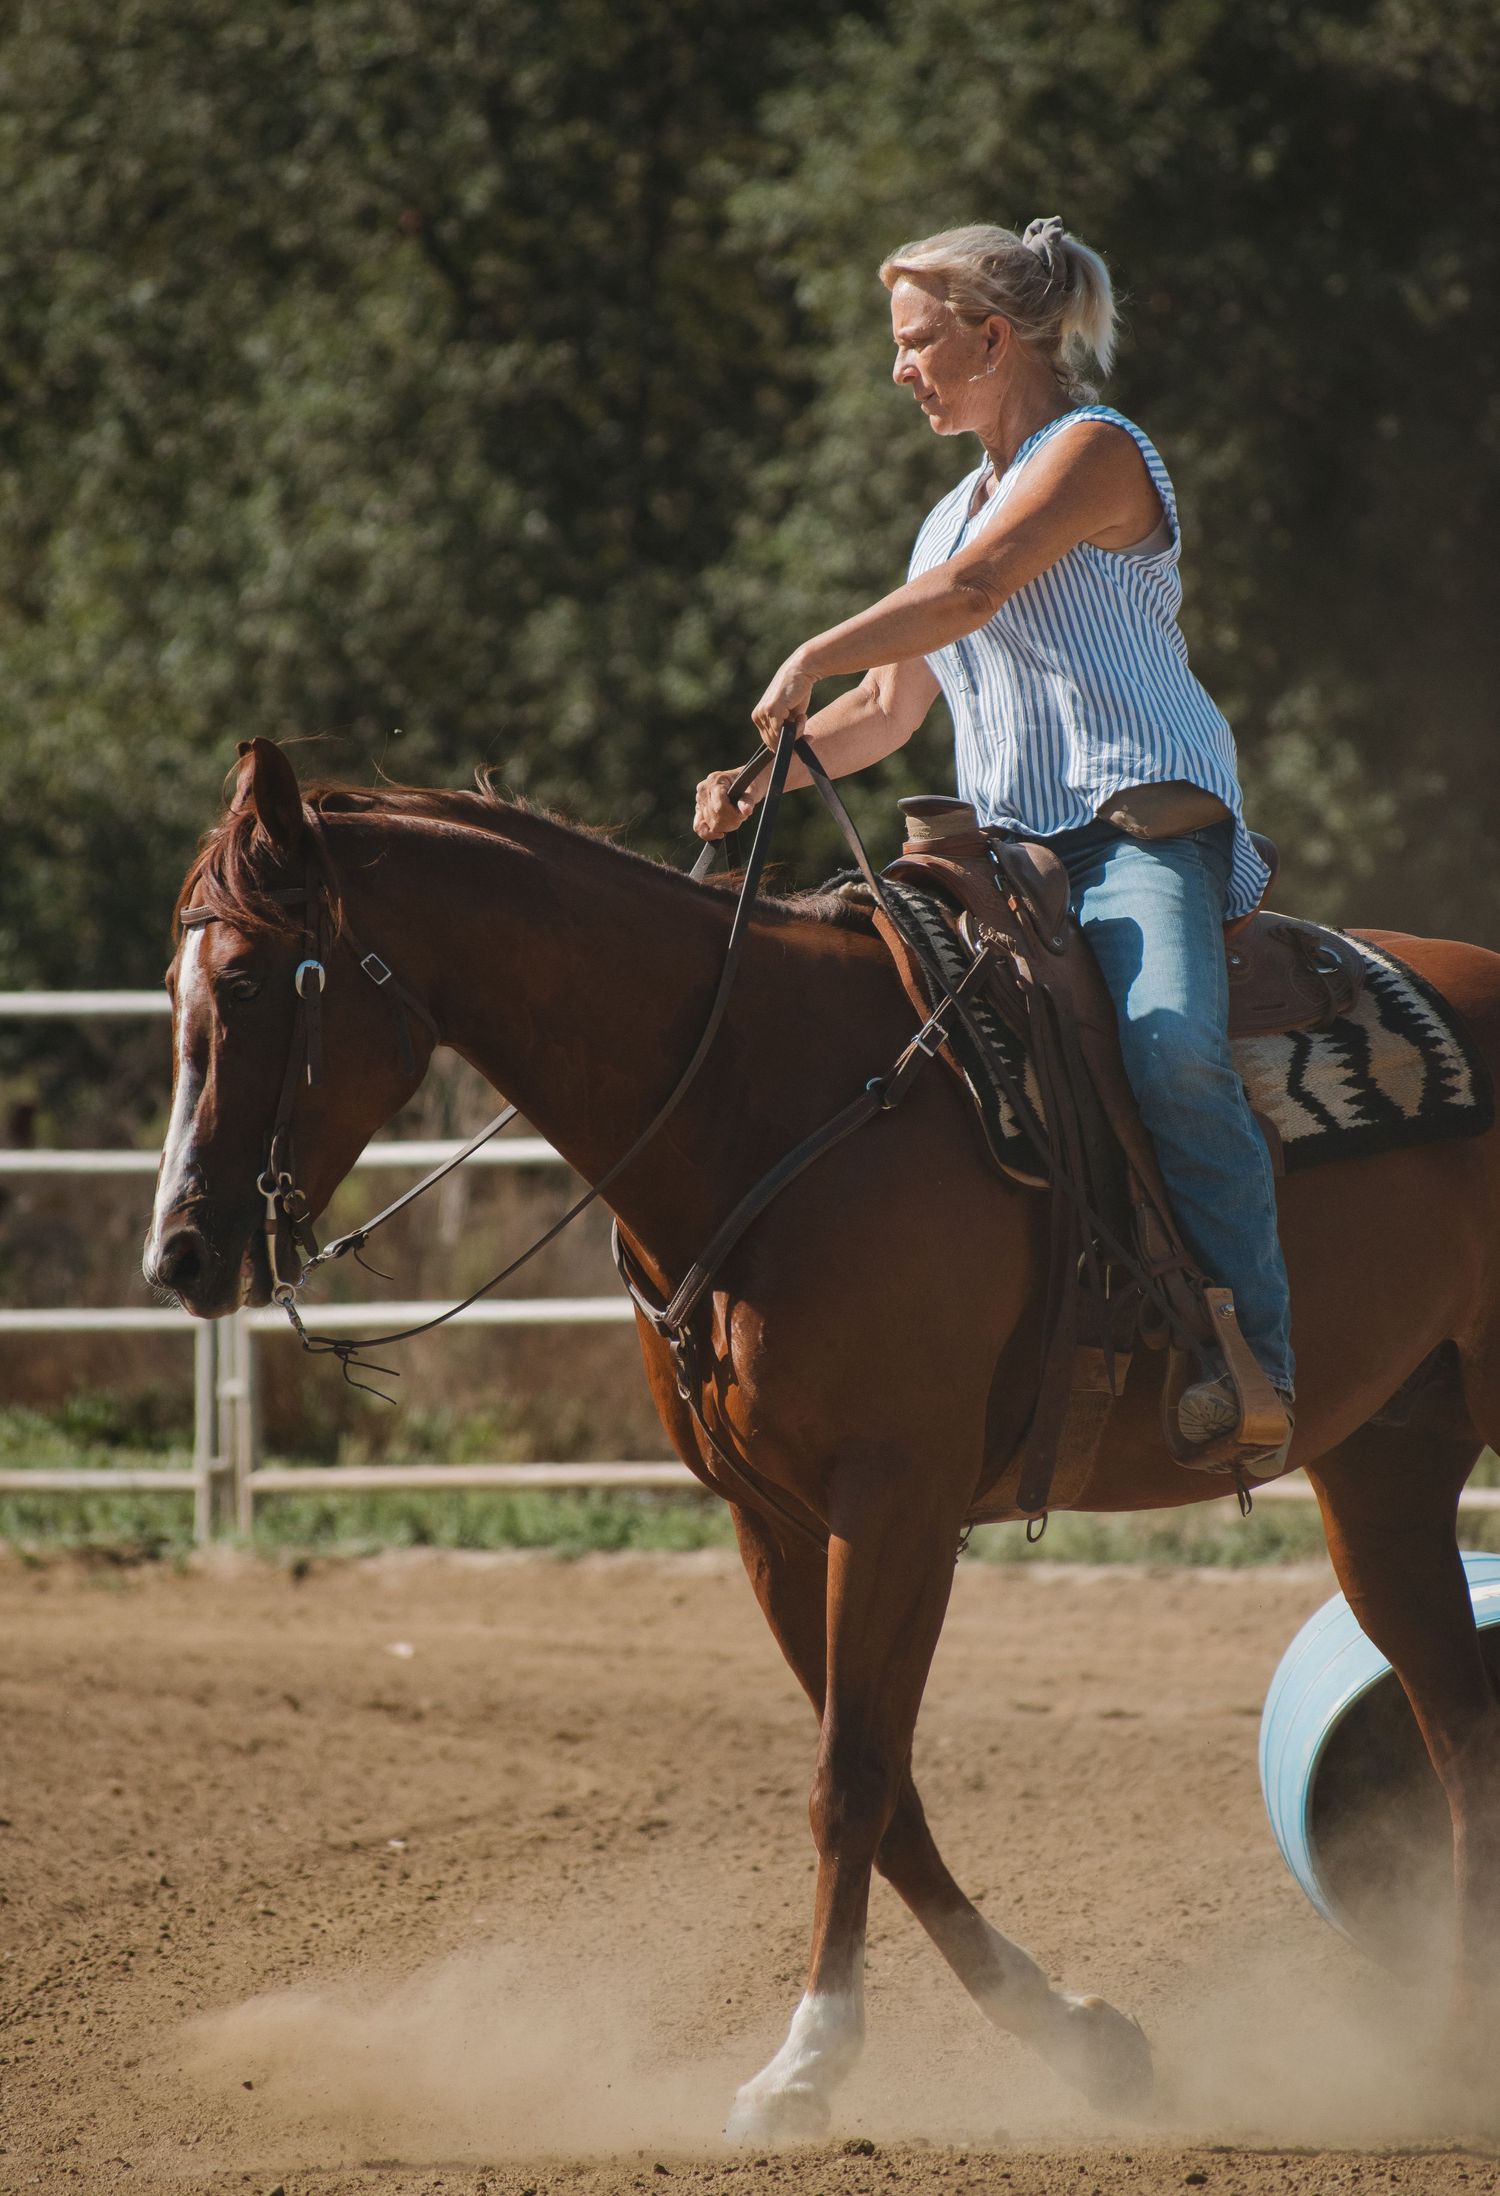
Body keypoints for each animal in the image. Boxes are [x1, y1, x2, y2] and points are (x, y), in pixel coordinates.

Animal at [146, 737, 1500, 2140]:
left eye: (245, 978)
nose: (178, 1253)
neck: (763, 1097)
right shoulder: (777, 1525)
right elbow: (887, 1792)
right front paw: (1080, 2039)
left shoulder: (895, 1502)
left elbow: (849, 1777)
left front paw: (804, 2064)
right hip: (1384, 1465)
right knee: (1458, 1734)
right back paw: (1447, 2051)